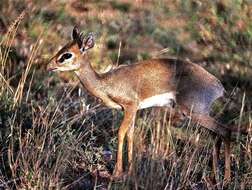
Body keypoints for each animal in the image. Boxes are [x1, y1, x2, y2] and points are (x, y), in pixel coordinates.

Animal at [48, 26, 231, 181]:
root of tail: (219, 86)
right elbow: (130, 135)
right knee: (216, 135)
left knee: (225, 130)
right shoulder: (132, 111)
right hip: (201, 114)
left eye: (66, 55)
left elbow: (121, 133)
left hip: (195, 113)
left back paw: (226, 179)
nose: (49, 66)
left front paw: (116, 173)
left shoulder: (130, 107)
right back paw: (214, 177)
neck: (105, 83)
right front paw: (129, 171)